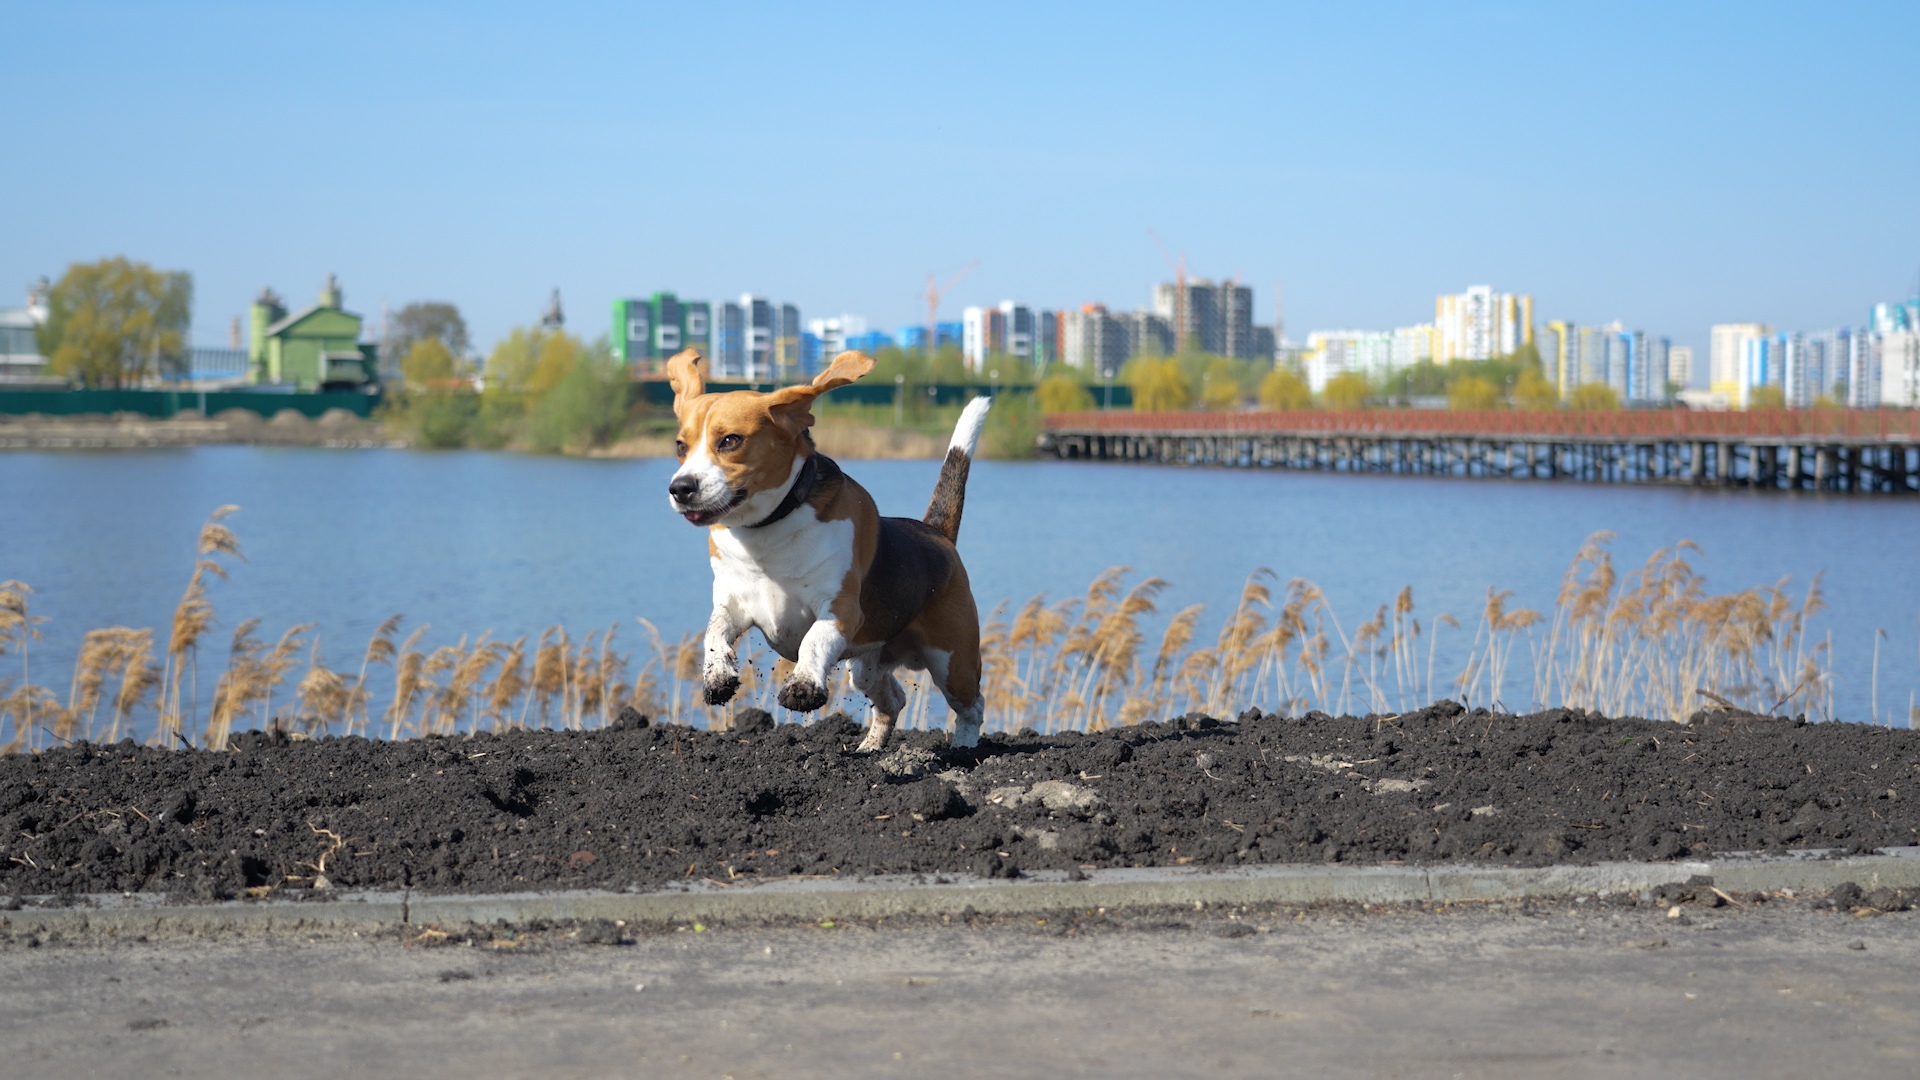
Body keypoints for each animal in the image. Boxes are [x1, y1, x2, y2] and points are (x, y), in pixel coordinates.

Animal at [664, 345, 990, 749]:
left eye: (730, 441)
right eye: (681, 446)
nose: (680, 488)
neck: (768, 530)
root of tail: (935, 533)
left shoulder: (841, 608)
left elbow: (813, 641)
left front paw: (802, 685)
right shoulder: (733, 601)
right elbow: (714, 631)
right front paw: (717, 676)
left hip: (952, 662)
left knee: (972, 705)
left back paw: (963, 748)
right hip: (867, 666)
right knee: (894, 699)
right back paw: (870, 748)